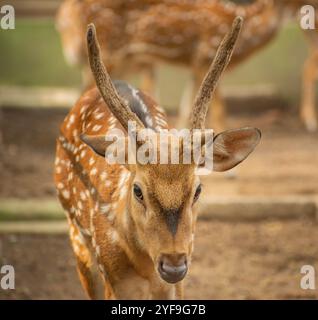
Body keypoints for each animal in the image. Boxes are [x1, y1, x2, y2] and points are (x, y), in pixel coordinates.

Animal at [54, 16, 260, 298]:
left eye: (198, 190)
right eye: (138, 190)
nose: (173, 265)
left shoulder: (176, 283)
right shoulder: (113, 279)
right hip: (76, 235)